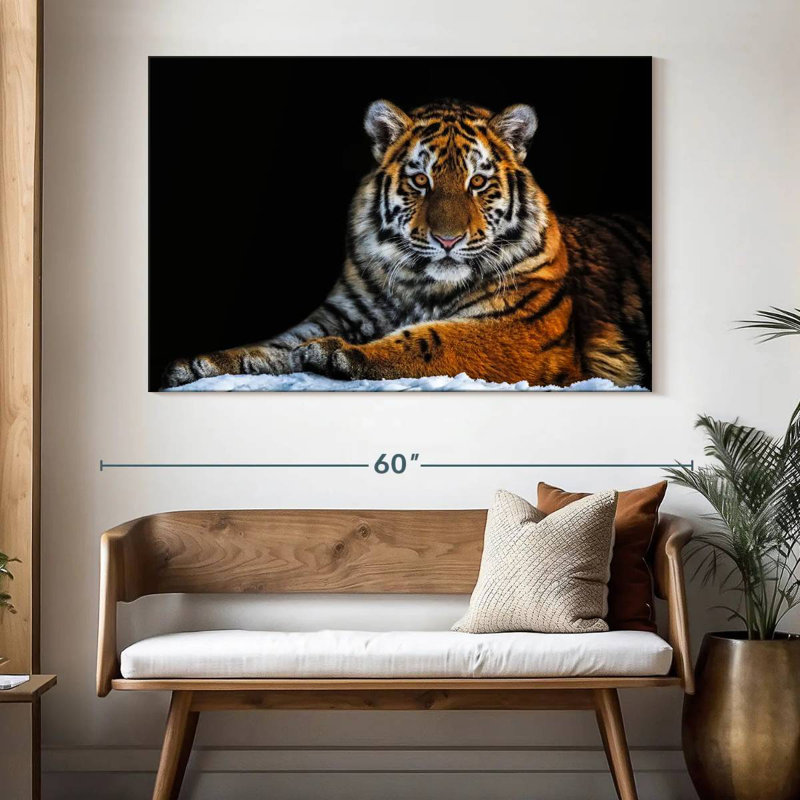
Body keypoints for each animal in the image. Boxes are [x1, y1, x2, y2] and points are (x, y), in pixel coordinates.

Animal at [162, 98, 651, 390]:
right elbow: (272, 346)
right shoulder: (339, 313)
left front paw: (338, 355)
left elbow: (434, 340)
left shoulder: (520, 330)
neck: (420, 285)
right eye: (421, 181)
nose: (448, 239)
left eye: (477, 183)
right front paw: (201, 363)